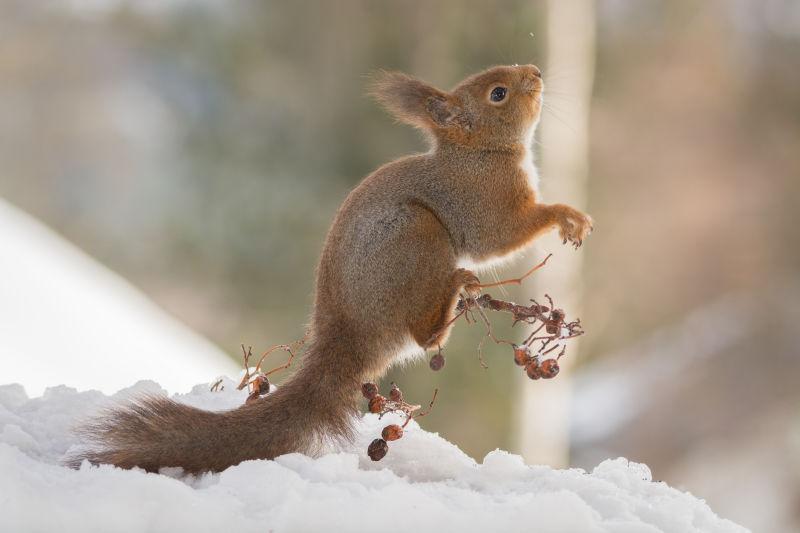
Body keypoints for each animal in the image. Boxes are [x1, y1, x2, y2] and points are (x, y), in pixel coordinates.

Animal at [70, 64, 592, 472]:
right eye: (498, 93)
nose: (536, 72)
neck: (479, 153)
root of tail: (347, 333)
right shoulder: (481, 203)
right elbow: (499, 236)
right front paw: (566, 215)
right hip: (418, 236)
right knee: (423, 335)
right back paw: (451, 298)